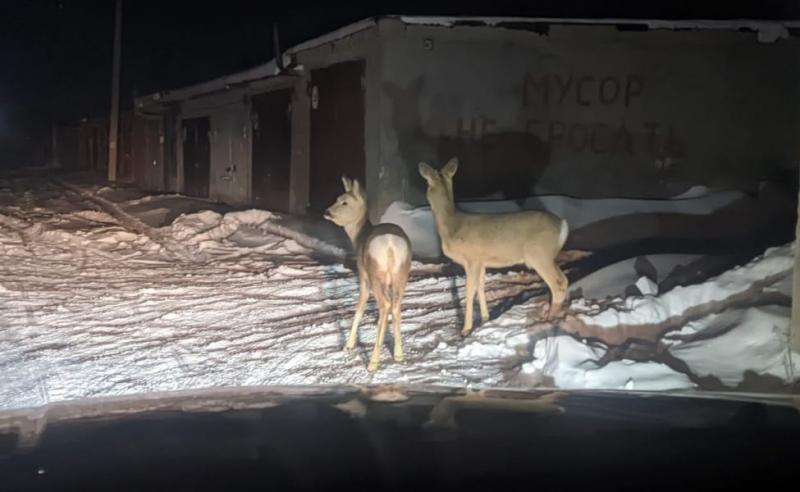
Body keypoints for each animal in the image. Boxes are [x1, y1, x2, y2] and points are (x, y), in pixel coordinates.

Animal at [324, 175, 412, 370]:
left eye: (344, 202)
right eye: (336, 199)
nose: (327, 211)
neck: (358, 237)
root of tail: (391, 246)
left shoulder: (362, 274)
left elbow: (360, 307)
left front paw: (348, 345)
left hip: (375, 274)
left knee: (385, 304)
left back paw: (373, 362)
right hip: (401, 274)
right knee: (395, 306)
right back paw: (399, 355)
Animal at [418, 160, 568, 336]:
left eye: (428, 181)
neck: (452, 227)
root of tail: (562, 224)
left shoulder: (472, 259)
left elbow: (469, 291)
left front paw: (466, 329)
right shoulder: (482, 262)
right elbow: (480, 288)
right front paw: (485, 319)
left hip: (539, 255)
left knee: (557, 284)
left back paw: (550, 319)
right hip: (549, 256)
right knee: (564, 280)